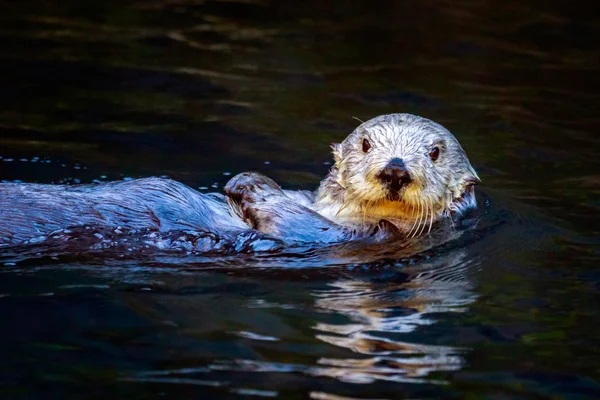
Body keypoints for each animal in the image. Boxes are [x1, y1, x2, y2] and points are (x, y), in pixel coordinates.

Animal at [0, 113, 478, 250]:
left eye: (434, 152)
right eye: (366, 143)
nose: (396, 168)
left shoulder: (343, 237)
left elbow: (290, 221)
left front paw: (249, 185)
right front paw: (246, 178)